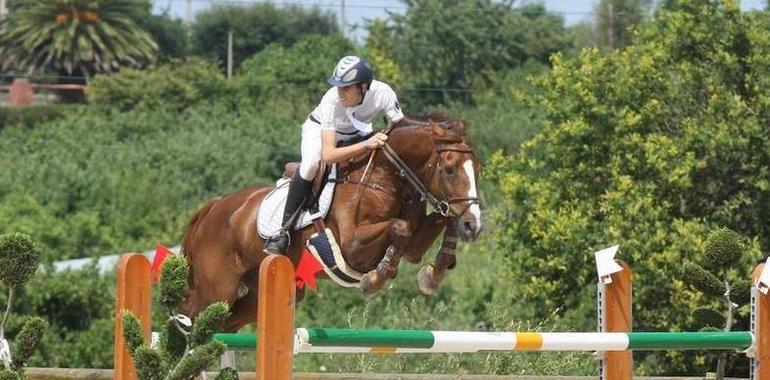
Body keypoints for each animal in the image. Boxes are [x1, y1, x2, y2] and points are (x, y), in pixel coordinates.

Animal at [178, 111, 480, 332]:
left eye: (477, 169)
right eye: (449, 169)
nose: (474, 226)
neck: (385, 176)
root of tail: (214, 207)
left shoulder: (414, 247)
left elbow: (439, 222)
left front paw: (433, 274)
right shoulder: (353, 247)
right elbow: (399, 228)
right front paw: (375, 279)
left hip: (256, 291)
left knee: (223, 324)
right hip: (217, 288)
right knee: (190, 311)